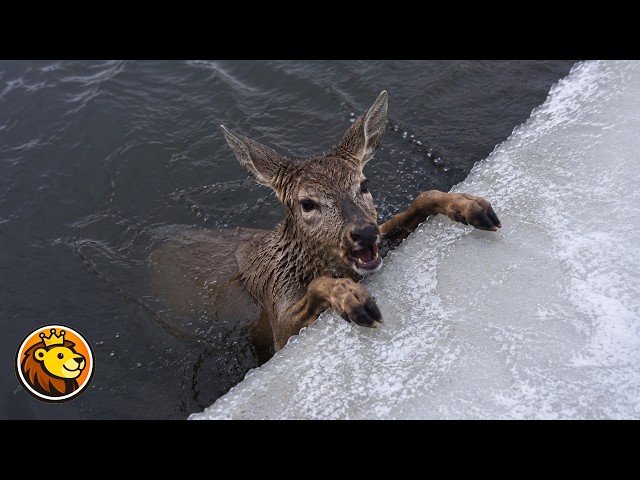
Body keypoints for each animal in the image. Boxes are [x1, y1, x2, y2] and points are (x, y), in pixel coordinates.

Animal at [150, 91, 501, 352]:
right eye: (307, 203)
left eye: (364, 184)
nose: (364, 234)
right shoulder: (278, 324)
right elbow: (315, 290)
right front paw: (353, 299)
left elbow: (418, 202)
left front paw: (469, 205)